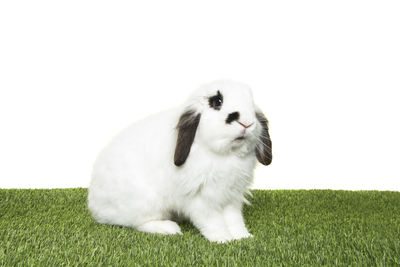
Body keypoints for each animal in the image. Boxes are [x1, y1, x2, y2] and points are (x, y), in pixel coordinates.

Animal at [87, 80, 272, 244]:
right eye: (217, 101)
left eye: (251, 102)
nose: (247, 123)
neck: (224, 154)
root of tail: (95, 205)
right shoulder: (200, 199)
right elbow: (212, 221)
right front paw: (223, 239)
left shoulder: (231, 197)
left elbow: (234, 219)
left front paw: (243, 237)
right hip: (145, 203)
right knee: (138, 223)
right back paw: (168, 228)